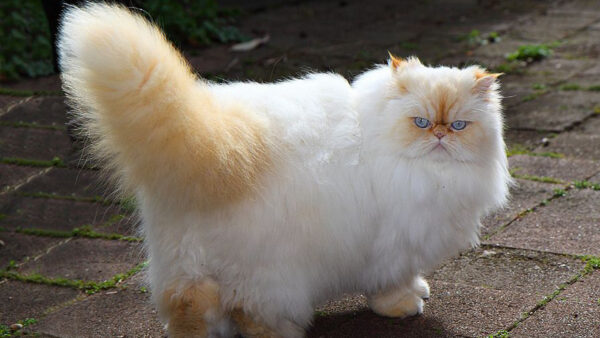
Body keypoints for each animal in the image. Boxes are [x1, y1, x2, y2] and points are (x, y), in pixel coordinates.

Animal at [57, 3, 510, 338]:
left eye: (459, 125)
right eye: (420, 122)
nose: (439, 135)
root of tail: (218, 148)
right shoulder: (392, 244)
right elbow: (389, 284)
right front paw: (404, 304)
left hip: (185, 263)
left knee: (189, 308)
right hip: (270, 274)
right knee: (249, 310)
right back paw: (283, 332)